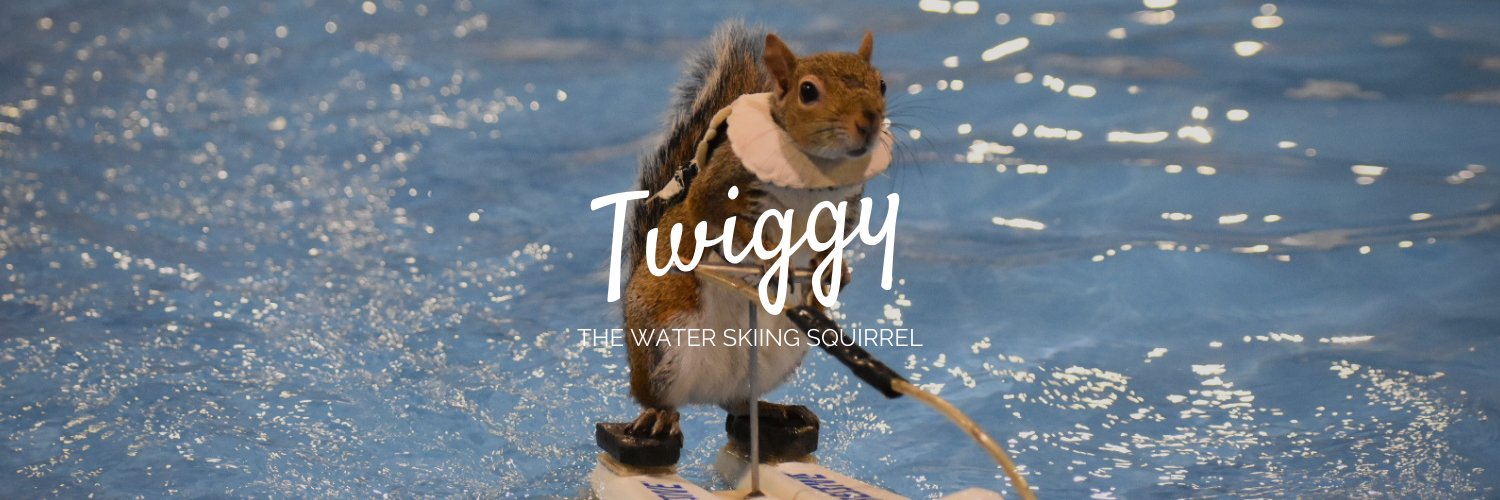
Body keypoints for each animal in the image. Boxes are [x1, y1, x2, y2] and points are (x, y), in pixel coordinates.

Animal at [620, 22, 888, 440]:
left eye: (882, 84)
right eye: (808, 91)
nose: (869, 122)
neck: (815, 172)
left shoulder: (845, 208)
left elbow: (834, 242)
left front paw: (833, 271)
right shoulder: (717, 189)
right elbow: (716, 220)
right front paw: (773, 260)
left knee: (735, 403)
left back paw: (771, 410)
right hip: (662, 341)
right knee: (658, 396)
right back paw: (660, 415)